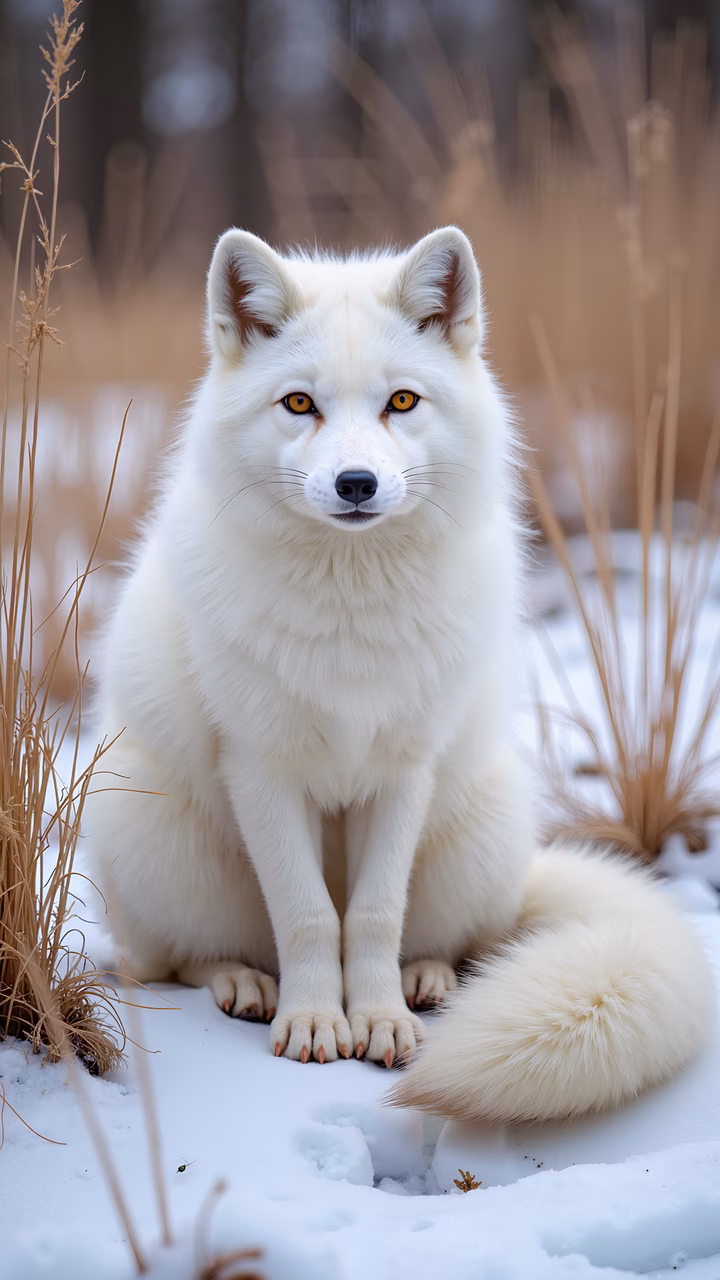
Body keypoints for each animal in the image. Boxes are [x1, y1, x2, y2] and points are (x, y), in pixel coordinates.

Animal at [84, 225, 714, 1124]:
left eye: (404, 402)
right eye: (299, 404)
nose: (357, 483)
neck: (352, 613)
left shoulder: (405, 767)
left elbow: (374, 914)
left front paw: (377, 1019)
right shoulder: (261, 767)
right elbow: (310, 915)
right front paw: (317, 1022)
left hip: (480, 828)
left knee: (459, 942)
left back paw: (425, 980)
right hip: (154, 838)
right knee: (177, 960)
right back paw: (244, 982)